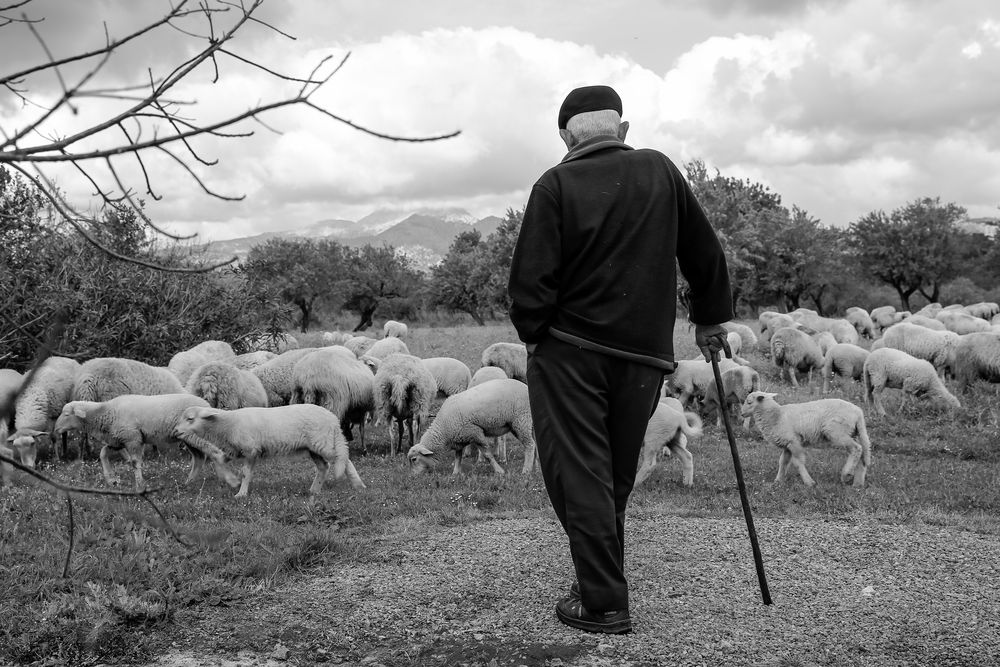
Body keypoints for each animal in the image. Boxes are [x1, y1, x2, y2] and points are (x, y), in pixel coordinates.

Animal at [55, 392, 239, 490]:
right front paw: (111, 479)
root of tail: (206, 405)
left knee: (215, 453)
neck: (105, 412)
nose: (55, 430)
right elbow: (102, 453)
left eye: (66, 414)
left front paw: (140, 485)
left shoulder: (133, 438)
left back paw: (232, 480)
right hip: (187, 437)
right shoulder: (118, 440)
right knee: (200, 458)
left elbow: (135, 462)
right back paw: (188, 483)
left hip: (194, 435)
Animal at [172, 404, 368, 498]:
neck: (228, 424)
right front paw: (232, 480)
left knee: (344, 459)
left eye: (190, 419)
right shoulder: (235, 450)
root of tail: (333, 419)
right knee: (323, 467)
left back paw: (358, 484)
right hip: (313, 448)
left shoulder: (251, 450)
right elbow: (218, 460)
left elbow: (246, 473)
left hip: (323, 442)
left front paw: (241, 493)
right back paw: (314, 490)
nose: (175, 431)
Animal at [406, 378, 536, 478]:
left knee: (530, 445)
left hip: (521, 420)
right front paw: (455, 473)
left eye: (414, 459)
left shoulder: (475, 432)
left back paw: (526, 470)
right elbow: (458, 457)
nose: (412, 477)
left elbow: (487, 454)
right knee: (535, 443)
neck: (443, 429)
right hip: (527, 422)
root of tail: (525, 386)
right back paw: (536, 466)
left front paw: (499, 471)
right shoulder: (459, 438)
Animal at [740, 392, 872, 490]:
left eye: (749, 402)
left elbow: (798, 462)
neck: (776, 416)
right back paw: (857, 484)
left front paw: (809, 482)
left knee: (856, 448)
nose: (741, 414)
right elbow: (783, 462)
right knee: (861, 456)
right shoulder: (787, 444)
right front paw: (778, 481)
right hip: (854, 433)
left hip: (837, 432)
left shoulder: (794, 442)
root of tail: (858, 412)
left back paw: (846, 474)